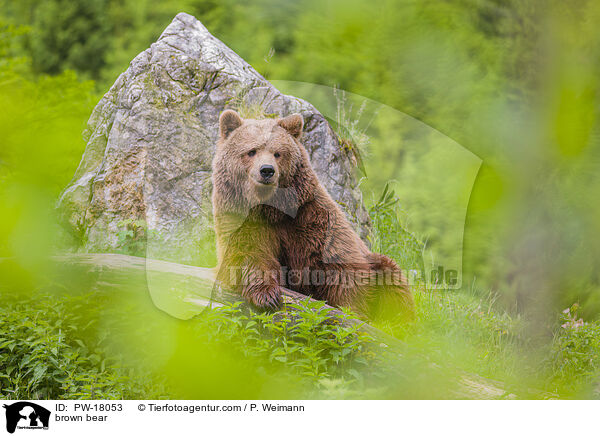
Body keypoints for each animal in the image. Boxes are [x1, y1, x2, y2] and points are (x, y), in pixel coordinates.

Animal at [213, 109, 414, 320]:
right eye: (251, 151)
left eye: (278, 153)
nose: (267, 170)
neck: (271, 209)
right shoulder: (242, 219)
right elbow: (248, 255)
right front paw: (268, 296)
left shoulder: (311, 217)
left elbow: (337, 268)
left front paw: (351, 311)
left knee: (392, 278)